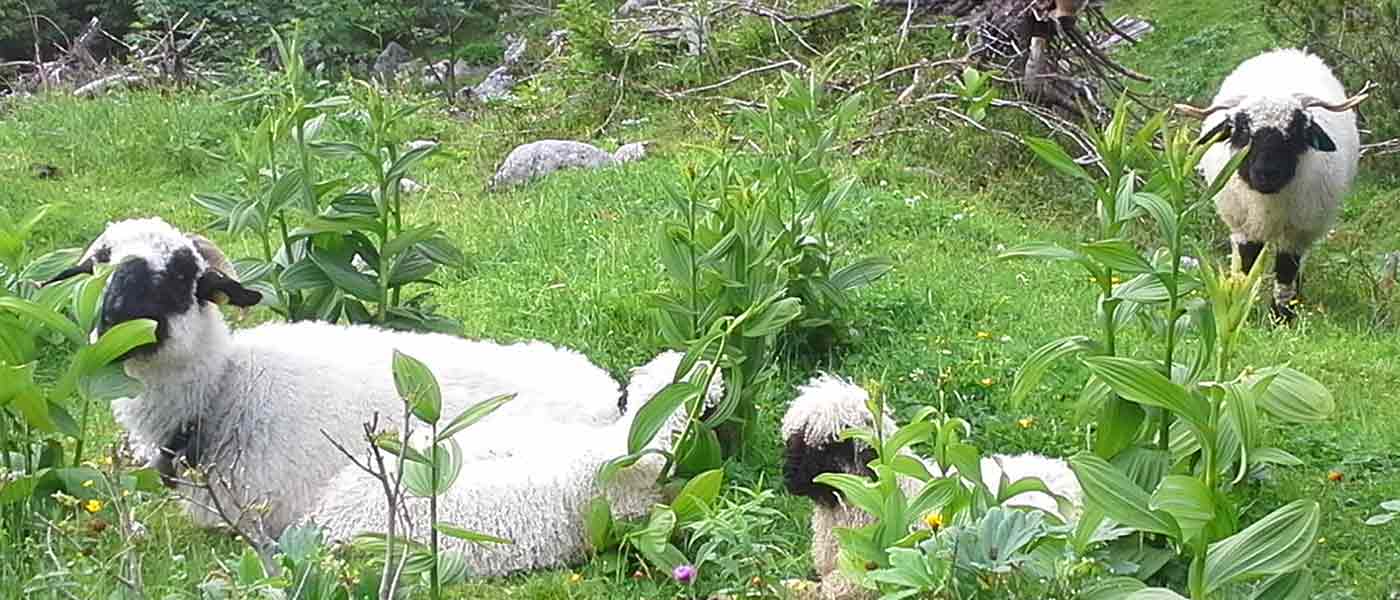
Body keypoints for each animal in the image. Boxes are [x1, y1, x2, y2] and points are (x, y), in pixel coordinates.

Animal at [1176, 47, 1372, 317]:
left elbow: (1286, 276)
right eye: (1242, 131)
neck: (1267, 202)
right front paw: (1241, 310)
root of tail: (1288, 52)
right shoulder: (1245, 228)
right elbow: (1246, 268)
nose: (1266, 173)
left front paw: (1282, 317)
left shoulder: (1296, 233)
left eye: (1295, 131)